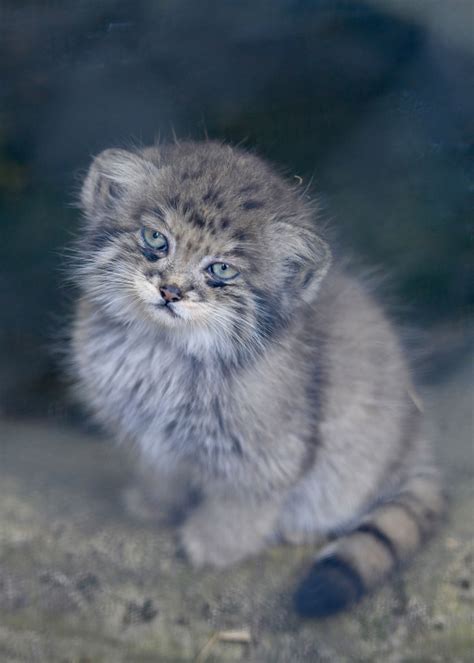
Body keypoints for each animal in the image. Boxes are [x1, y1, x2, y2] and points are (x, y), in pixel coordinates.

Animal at [71, 143, 444, 620]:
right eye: (155, 239)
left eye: (222, 269)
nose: (171, 291)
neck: (164, 350)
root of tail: (418, 444)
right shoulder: (153, 439)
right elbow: (162, 474)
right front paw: (152, 505)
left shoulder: (265, 453)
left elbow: (243, 503)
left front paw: (211, 543)